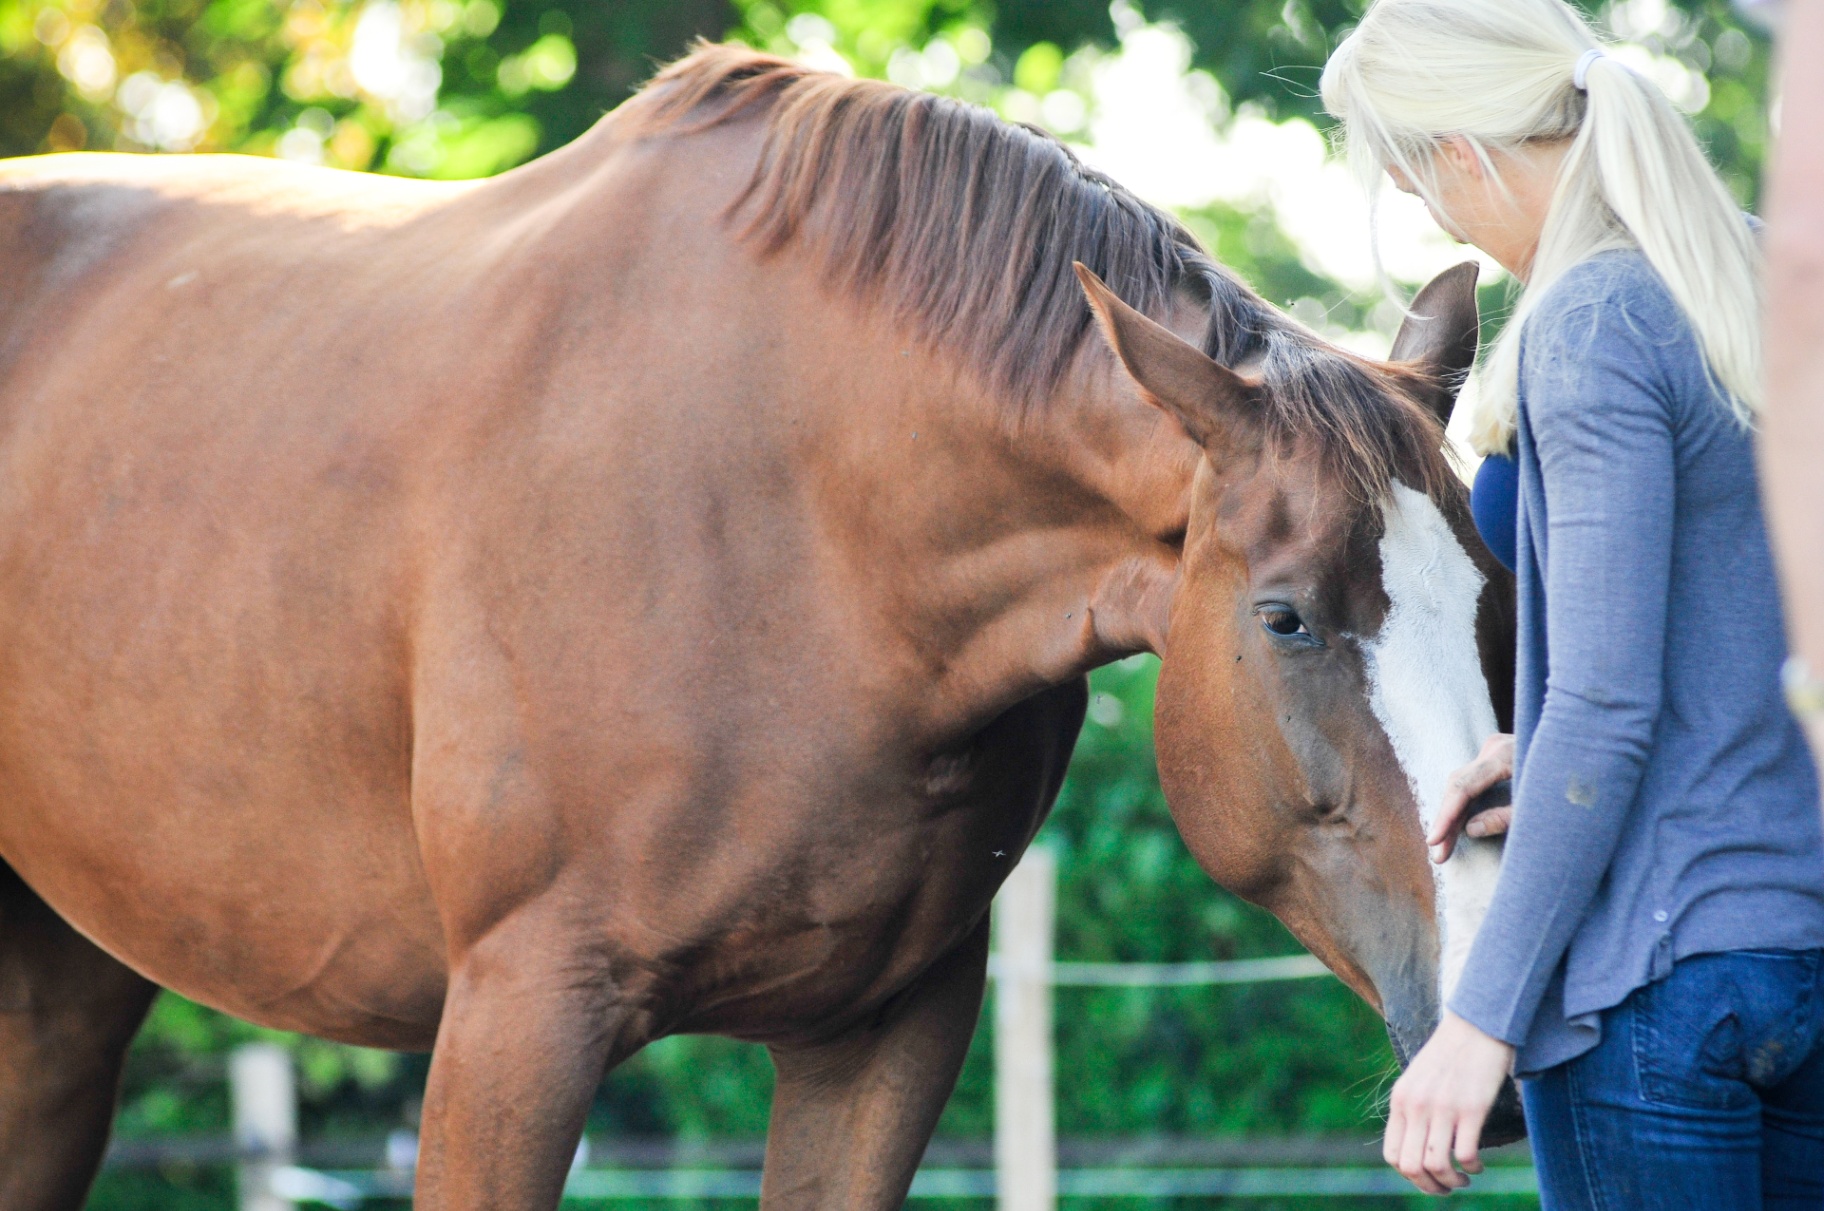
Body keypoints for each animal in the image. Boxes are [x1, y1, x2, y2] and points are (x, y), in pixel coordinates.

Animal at [0, 46, 1515, 1209]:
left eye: (1499, 600)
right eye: (1287, 616)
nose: (1485, 1040)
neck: (807, 525)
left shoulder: (884, 1033)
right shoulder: (514, 1020)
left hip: (64, 990)